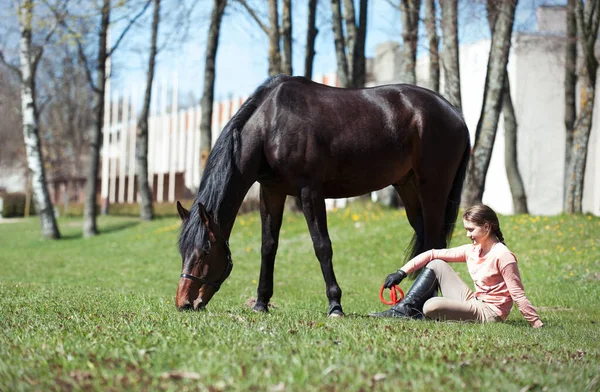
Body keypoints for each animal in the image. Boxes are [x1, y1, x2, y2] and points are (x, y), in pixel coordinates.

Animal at [176, 75, 472, 316]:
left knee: (435, 243)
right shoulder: (271, 192)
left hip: (433, 188)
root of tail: (455, 114)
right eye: (182, 250)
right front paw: (261, 303)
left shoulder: (310, 192)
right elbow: (268, 246)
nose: (184, 303)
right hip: (408, 187)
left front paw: (335, 305)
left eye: (205, 251)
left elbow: (322, 246)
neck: (271, 124)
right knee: (425, 241)